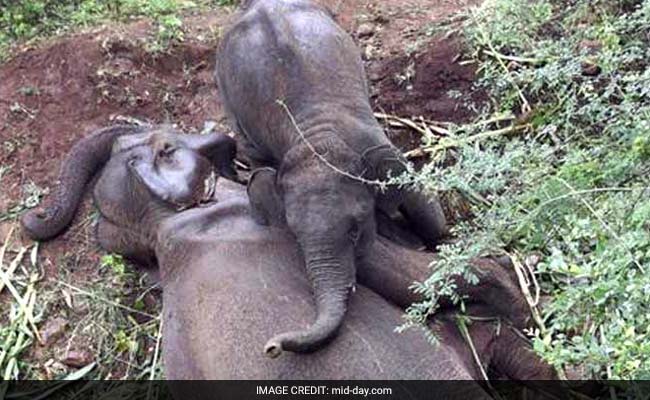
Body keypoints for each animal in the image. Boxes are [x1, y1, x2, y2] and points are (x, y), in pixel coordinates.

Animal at [215, 0, 448, 358]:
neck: (318, 138)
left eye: (354, 231)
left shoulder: (377, 145)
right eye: (295, 236)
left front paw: (436, 244)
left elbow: (422, 203)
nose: (271, 348)